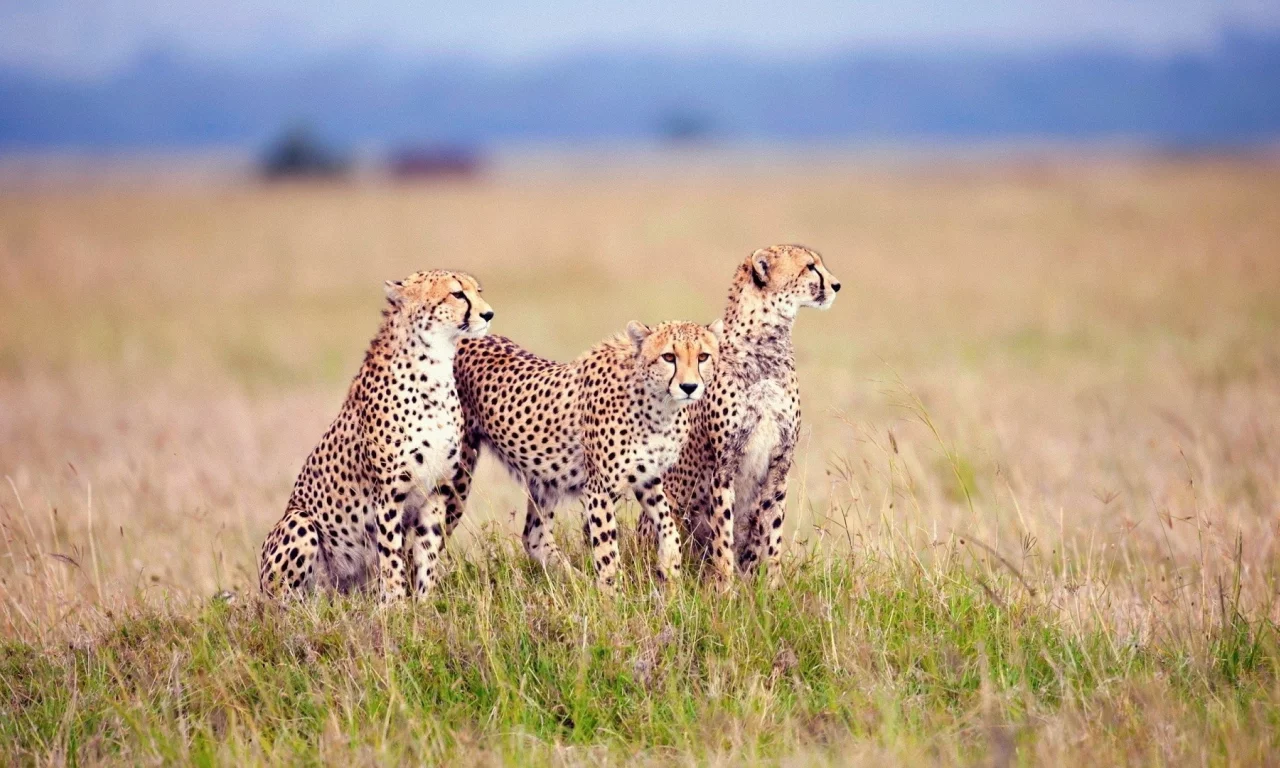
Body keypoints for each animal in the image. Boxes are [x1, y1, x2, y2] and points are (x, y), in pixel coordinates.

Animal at [258, 270, 494, 599]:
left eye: (478, 291)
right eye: (457, 294)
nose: (488, 314)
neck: (434, 370)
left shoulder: (436, 491)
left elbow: (427, 553)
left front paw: (425, 601)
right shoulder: (389, 495)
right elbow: (392, 557)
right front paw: (395, 605)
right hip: (298, 522)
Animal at [437, 317, 721, 588]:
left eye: (703, 357)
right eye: (669, 357)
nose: (689, 387)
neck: (659, 404)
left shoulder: (647, 478)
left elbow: (669, 528)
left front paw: (670, 571)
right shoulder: (599, 488)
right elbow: (607, 553)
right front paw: (611, 597)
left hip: (544, 479)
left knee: (534, 537)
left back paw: (578, 582)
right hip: (458, 471)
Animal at [645, 243, 844, 586]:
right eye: (810, 267)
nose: (836, 285)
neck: (767, 345)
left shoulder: (780, 462)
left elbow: (771, 532)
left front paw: (771, 586)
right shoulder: (724, 464)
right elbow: (723, 533)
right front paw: (725, 587)